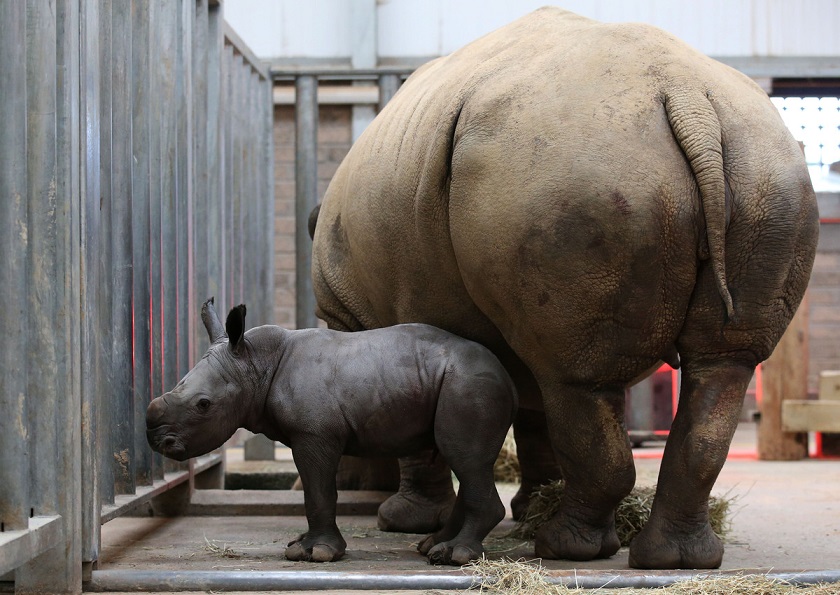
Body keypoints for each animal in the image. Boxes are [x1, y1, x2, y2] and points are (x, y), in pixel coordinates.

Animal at [148, 300, 516, 564]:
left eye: (203, 404)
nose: (156, 441)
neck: (254, 364)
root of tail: (508, 377)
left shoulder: (314, 434)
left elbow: (318, 492)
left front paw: (313, 553)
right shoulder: (314, 433)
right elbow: (318, 491)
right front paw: (303, 545)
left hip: (469, 384)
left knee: (465, 458)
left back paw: (456, 555)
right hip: (463, 382)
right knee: (466, 464)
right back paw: (433, 547)